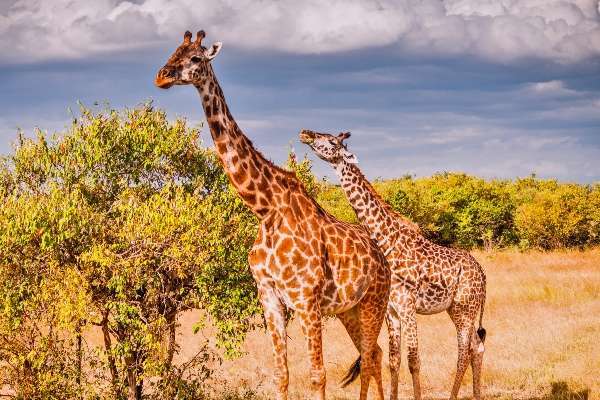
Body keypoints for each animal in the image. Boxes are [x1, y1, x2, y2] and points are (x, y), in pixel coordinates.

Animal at [152, 31, 392, 400]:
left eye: (195, 58)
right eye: (173, 50)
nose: (162, 76)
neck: (265, 208)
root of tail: (382, 256)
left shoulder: (306, 300)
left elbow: (317, 375)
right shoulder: (270, 298)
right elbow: (282, 374)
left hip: (374, 302)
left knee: (371, 356)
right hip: (349, 309)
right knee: (373, 354)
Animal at [300, 129, 488, 400]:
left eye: (333, 141)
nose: (306, 134)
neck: (387, 242)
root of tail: (483, 274)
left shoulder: (408, 307)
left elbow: (414, 360)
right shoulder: (392, 311)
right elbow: (394, 360)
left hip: (465, 309)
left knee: (464, 350)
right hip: (457, 309)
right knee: (477, 346)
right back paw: (476, 394)